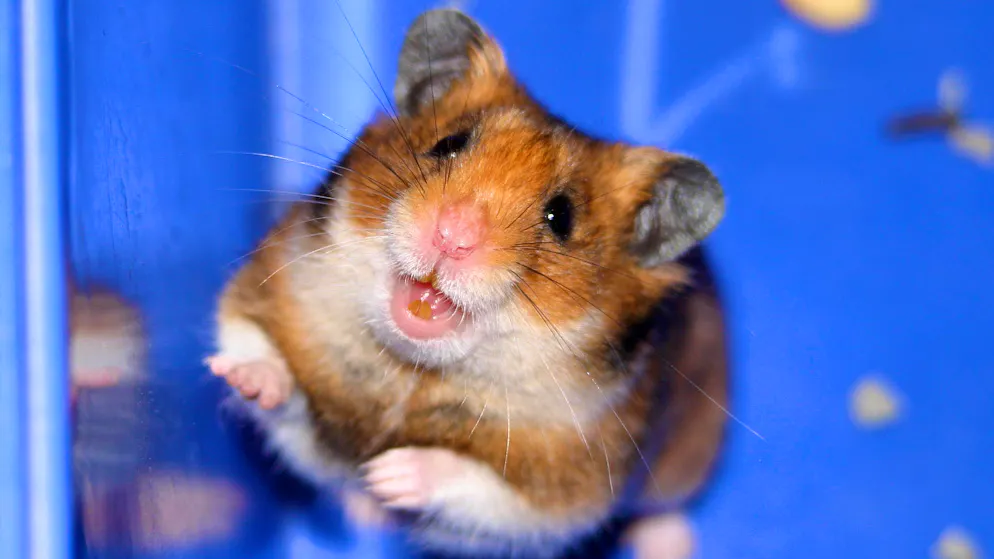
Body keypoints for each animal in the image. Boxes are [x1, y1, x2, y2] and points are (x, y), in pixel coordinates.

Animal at [208, 9, 729, 558]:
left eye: (561, 216)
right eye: (449, 145)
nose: (452, 236)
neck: (412, 372)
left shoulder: (559, 496)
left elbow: (475, 483)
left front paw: (387, 474)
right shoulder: (269, 295)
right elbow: (265, 363)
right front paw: (240, 377)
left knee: (660, 510)